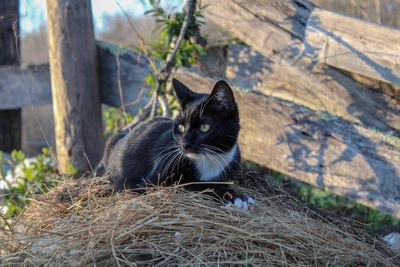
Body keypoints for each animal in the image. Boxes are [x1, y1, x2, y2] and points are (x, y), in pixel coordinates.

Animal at [95, 79, 255, 209]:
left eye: (204, 127)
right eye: (181, 127)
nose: (184, 144)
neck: (208, 159)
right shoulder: (152, 181)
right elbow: (194, 184)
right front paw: (235, 196)